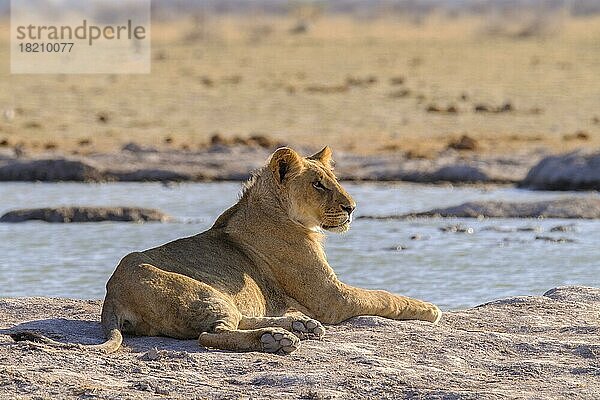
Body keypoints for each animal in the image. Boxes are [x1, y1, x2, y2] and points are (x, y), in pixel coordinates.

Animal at [10, 147, 440, 354]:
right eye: (318, 184)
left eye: (333, 180)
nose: (352, 207)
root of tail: (111, 299)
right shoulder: (332, 297)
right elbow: (384, 296)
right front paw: (430, 308)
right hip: (201, 291)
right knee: (210, 336)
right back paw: (277, 341)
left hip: (220, 296)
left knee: (235, 322)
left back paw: (296, 327)